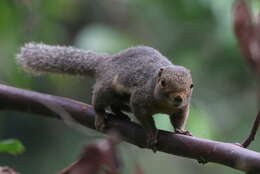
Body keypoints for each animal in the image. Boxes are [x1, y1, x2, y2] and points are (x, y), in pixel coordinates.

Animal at [16, 43, 193, 151]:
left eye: (191, 86)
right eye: (163, 82)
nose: (178, 98)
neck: (164, 105)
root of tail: (105, 62)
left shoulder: (182, 108)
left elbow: (178, 119)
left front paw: (181, 130)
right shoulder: (140, 98)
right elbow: (143, 116)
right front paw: (151, 133)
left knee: (116, 105)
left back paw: (121, 114)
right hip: (106, 89)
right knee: (99, 102)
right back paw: (101, 116)